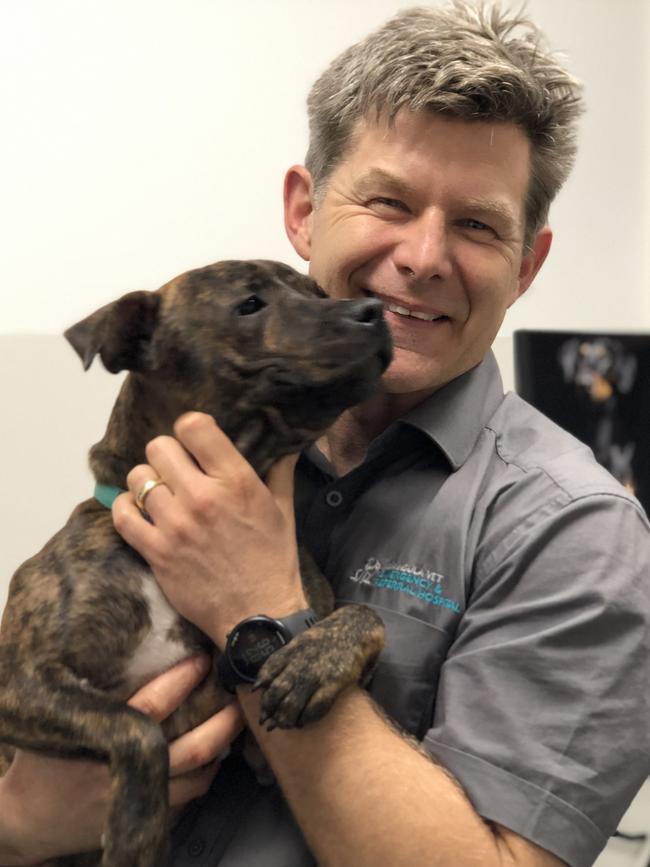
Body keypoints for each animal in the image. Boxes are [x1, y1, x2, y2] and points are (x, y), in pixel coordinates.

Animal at [0, 262, 390, 867]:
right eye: (249, 304)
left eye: (320, 293)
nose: (373, 310)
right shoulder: (19, 681)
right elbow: (137, 728)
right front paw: (136, 832)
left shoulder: (259, 753)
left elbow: (368, 617)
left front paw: (313, 662)